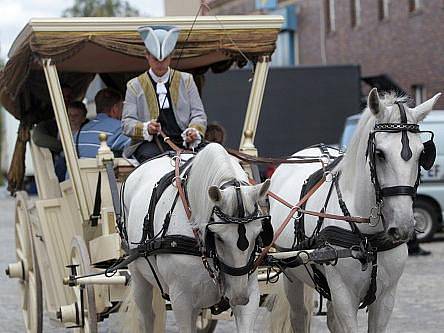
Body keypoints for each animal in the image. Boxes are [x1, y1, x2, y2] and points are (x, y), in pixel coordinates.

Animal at [123, 143, 272, 332]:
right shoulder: (181, 299)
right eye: (219, 237)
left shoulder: (250, 291)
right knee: (147, 316)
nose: (238, 297)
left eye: (259, 233)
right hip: (139, 279)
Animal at [270, 89, 440, 332]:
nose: (404, 227)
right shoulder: (343, 296)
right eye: (380, 153)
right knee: (299, 315)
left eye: (421, 154)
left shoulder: (386, 298)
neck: (369, 239)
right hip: (291, 273)